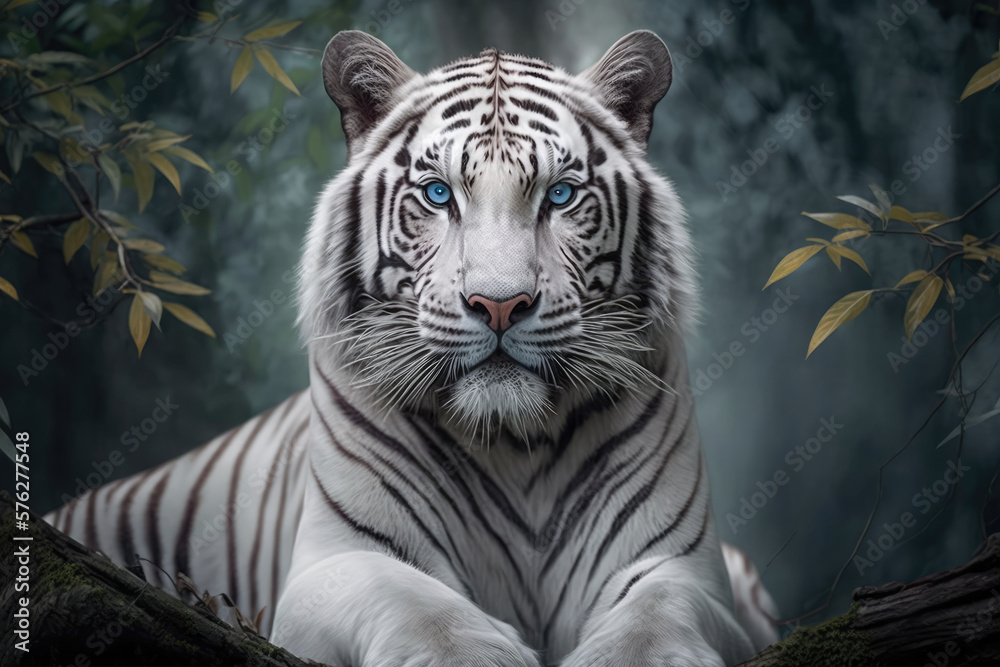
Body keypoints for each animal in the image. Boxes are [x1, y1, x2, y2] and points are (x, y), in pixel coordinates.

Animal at [44, 29, 779, 666]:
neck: (515, 443)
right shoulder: (336, 561)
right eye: (438, 194)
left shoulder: (677, 566)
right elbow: (421, 608)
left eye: (562, 195)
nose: (500, 303)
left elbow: (654, 621)